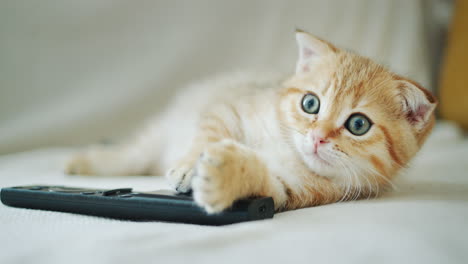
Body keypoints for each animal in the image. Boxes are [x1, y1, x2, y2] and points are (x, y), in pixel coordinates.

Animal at [66, 29, 438, 213]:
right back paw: (81, 164)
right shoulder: (229, 108)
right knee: (129, 153)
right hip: (156, 137)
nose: (317, 137)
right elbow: (211, 131)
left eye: (358, 125)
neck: (288, 149)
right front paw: (190, 165)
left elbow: (262, 179)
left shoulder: (292, 188)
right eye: (310, 103)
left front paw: (225, 175)